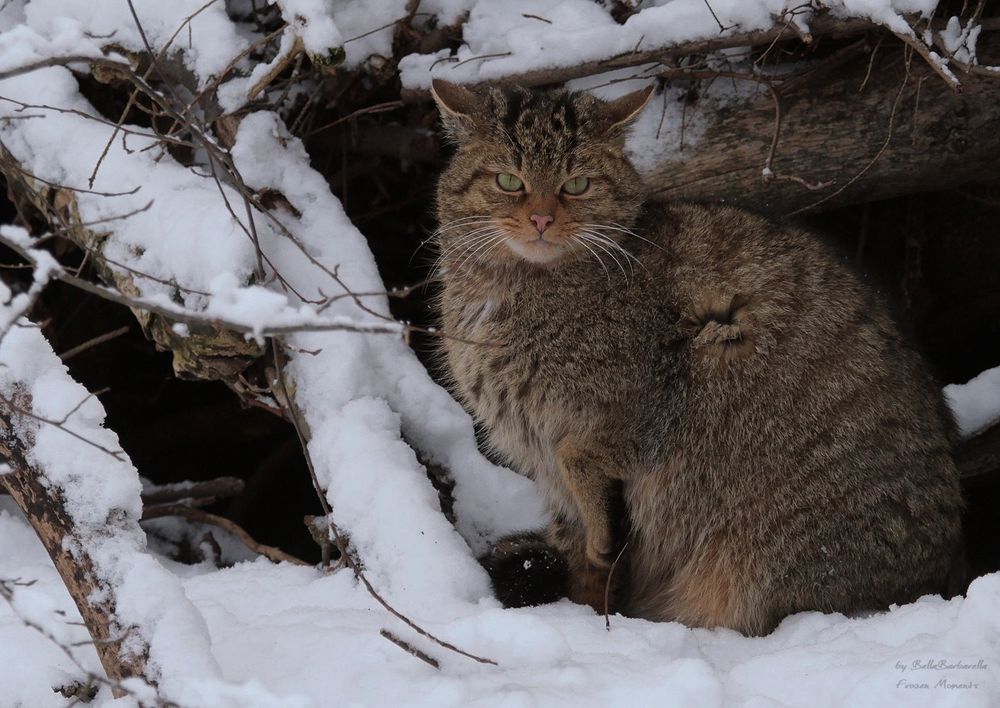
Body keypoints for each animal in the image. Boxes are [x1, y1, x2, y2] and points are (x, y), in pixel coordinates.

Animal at [428, 80, 960, 632]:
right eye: (508, 180)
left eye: (577, 185)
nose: (541, 218)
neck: (507, 296)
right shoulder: (538, 455)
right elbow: (582, 559)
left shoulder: (647, 401)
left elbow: (579, 458)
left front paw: (601, 540)